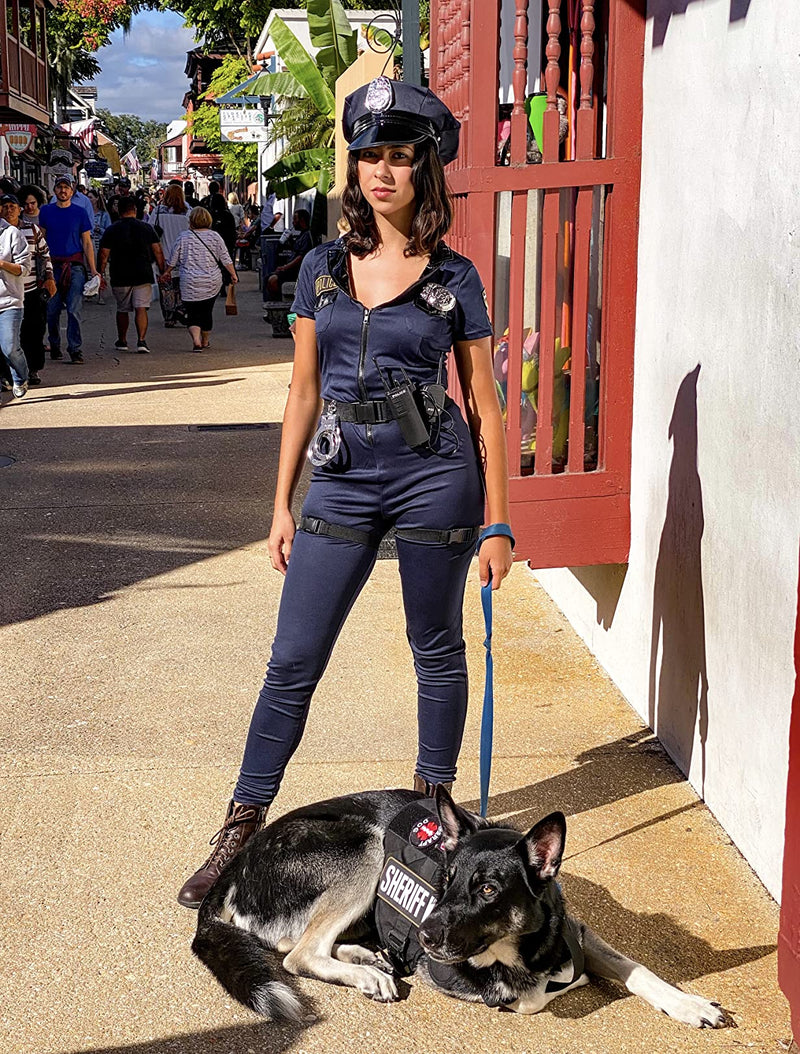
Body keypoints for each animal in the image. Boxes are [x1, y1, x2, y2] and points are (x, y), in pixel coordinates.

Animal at [190, 792, 729, 1028]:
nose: (425, 937)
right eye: (443, 881)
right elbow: (527, 997)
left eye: (489, 890)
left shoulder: (579, 933)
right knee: (297, 954)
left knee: (295, 942)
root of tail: (233, 867)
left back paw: (367, 957)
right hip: (367, 847)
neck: (524, 948)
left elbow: (636, 968)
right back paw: (368, 971)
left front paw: (688, 1004)